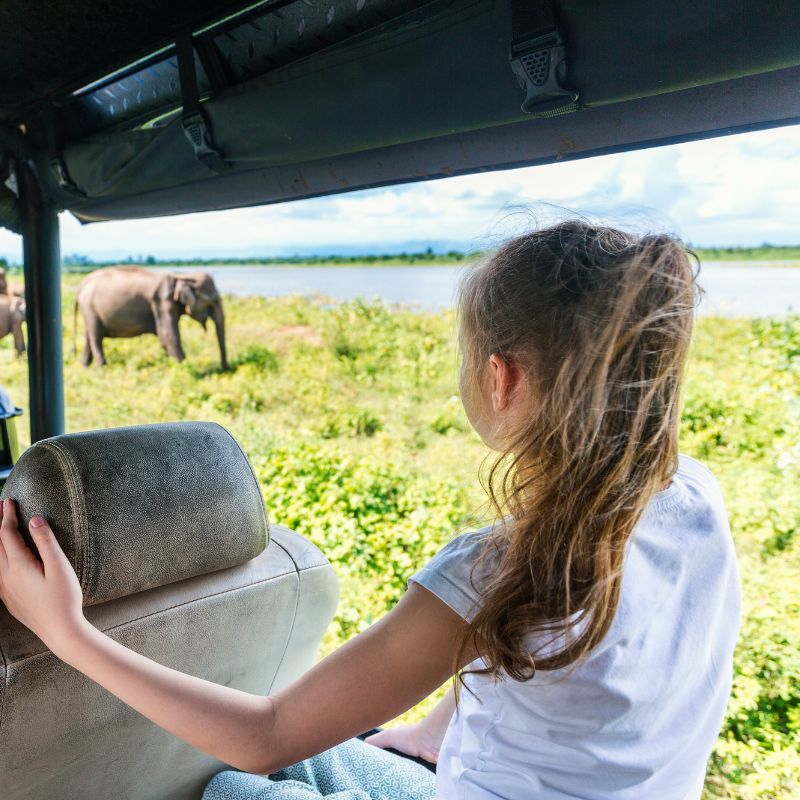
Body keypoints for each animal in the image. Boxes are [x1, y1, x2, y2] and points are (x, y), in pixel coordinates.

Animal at [73, 268, 228, 370]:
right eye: (213, 301)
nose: (225, 369)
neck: (181, 277)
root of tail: (82, 284)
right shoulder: (161, 303)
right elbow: (167, 335)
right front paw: (184, 369)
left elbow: (166, 338)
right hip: (90, 309)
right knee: (96, 337)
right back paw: (101, 368)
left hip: (89, 311)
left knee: (89, 336)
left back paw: (85, 366)